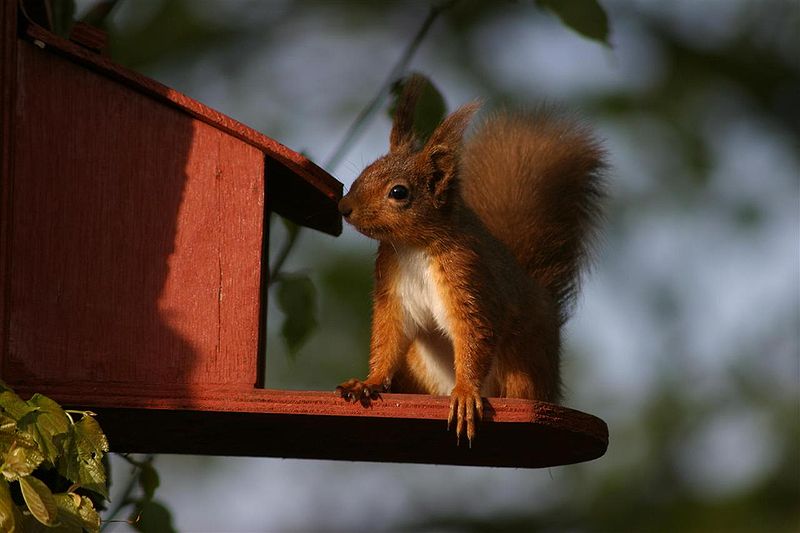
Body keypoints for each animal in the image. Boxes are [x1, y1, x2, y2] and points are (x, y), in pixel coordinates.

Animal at [334, 74, 604, 440]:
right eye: (365, 171)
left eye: (399, 192)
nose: (344, 207)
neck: (413, 247)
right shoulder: (393, 291)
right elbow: (388, 336)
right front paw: (369, 382)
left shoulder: (468, 277)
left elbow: (474, 333)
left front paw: (464, 393)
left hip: (522, 368)